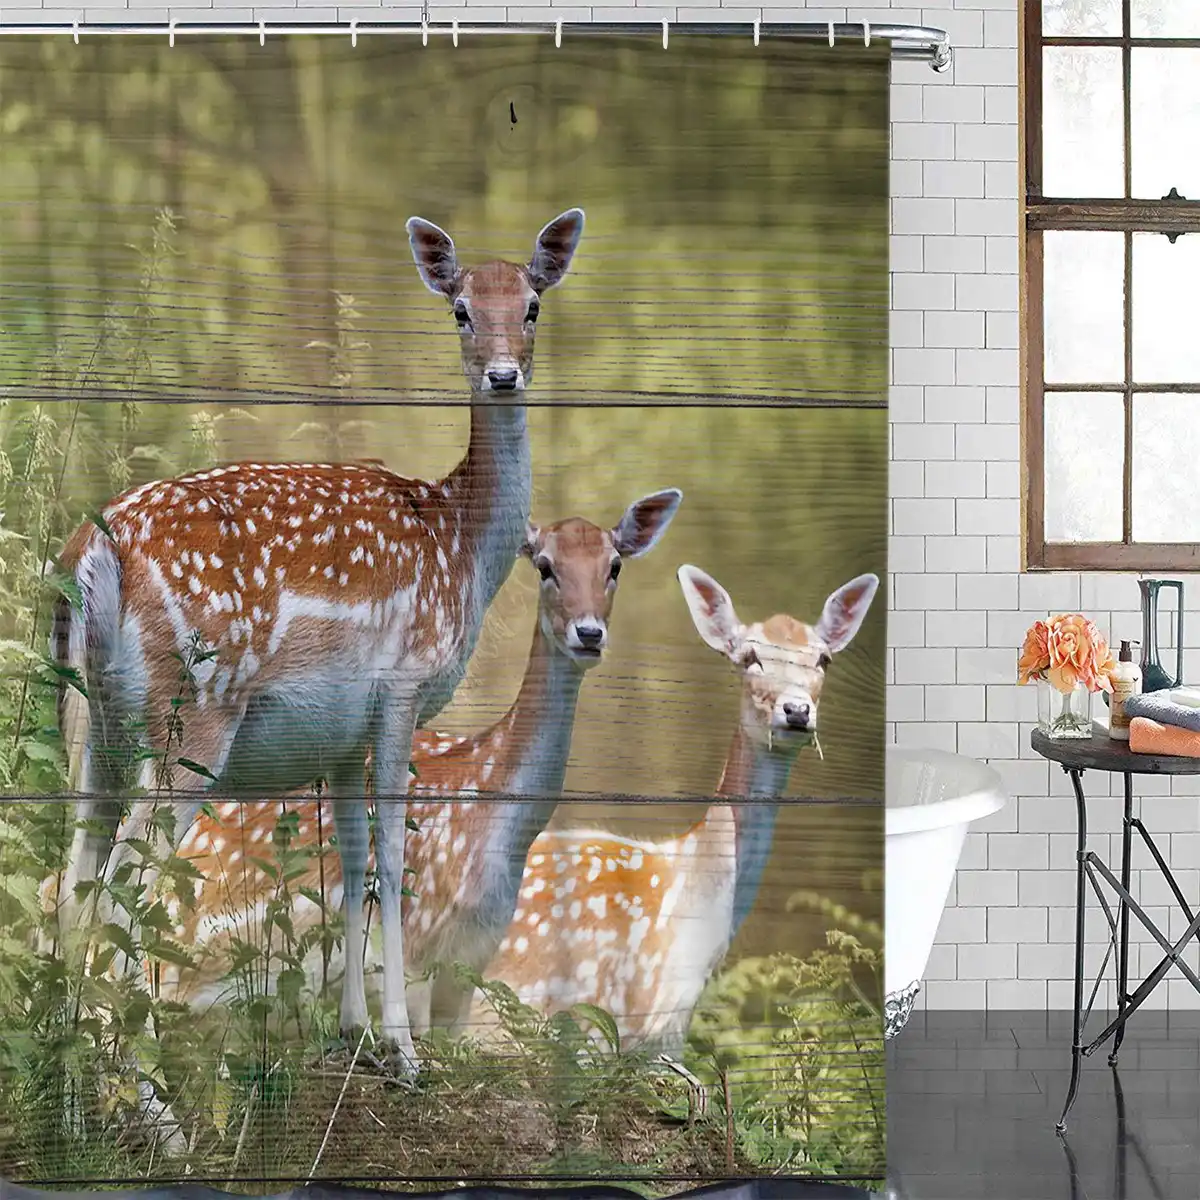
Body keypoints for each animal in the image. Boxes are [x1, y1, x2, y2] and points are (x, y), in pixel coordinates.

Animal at [47, 207, 586, 1091]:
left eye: (533, 306)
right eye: (460, 310)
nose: (504, 376)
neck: (461, 548)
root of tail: (96, 549)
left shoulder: (340, 734)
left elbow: (352, 858)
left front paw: (353, 1032)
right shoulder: (403, 686)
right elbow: (393, 861)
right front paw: (403, 1048)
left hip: (92, 722)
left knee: (77, 866)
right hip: (193, 712)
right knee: (127, 874)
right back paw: (138, 1084)